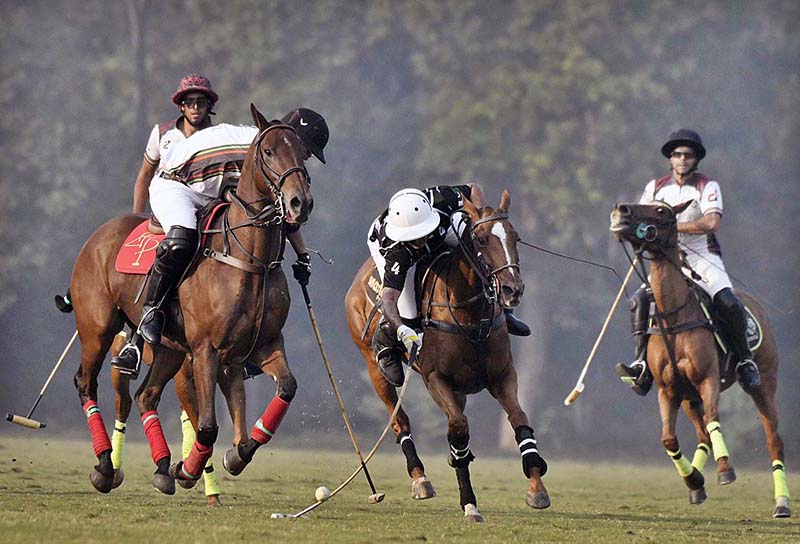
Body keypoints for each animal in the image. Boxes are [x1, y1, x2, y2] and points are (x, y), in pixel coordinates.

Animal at [69, 104, 312, 496]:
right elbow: (209, 425)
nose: (299, 202)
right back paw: (106, 467)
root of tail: (97, 237)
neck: (251, 260)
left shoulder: (264, 345)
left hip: (169, 347)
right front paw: (189, 469)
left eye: (303, 152)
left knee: (146, 395)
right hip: (97, 329)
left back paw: (161, 467)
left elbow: (286, 388)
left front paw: (234, 455)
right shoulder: (206, 350)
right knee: (86, 383)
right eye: (269, 151)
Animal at [344, 189, 552, 520]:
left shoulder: (502, 374)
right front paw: (469, 503)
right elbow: (458, 429)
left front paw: (536, 487)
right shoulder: (435, 378)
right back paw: (420, 479)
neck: (470, 316)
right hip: (373, 366)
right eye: (481, 239)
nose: (513, 290)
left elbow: (519, 419)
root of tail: (358, 278)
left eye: (516, 237)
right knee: (399, 419)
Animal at [612, 201, 788, 520]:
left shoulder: (708, 378)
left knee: (773, 441)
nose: (622, 210)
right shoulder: (667, 390)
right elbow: (668, 438)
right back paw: (696, 484)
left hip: (764, 384)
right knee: (702, 435)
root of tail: (754, 303)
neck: (674, 318)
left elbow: (713, 419)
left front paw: (725, 470)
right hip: (687, 396)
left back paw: (782, 503)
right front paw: (694, 480)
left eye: (662, 212)